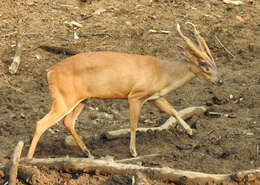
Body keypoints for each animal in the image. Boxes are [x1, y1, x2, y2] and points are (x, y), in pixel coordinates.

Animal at [26, 23, 222, 158]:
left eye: (213, 61)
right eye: (203, 64)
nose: (219, 80)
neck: (162, 74)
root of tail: (49, 72)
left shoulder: (154, 96)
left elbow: (173, 110)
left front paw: (190, 131)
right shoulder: (135, 95)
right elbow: (133, 124)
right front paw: (133, 151)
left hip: (81, 99)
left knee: (68, 122)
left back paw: (87, 152)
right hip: (64, 98)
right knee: (41, 123)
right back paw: (29, 158)